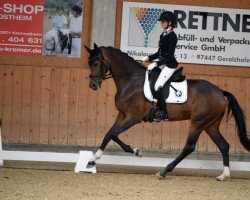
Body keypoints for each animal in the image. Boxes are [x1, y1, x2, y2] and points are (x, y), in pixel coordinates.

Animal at [85, 43, 249, 181]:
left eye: (95, 63)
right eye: (89, 64)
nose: (93, 85)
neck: (131, 81)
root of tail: (220, 92)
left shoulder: (133, 117)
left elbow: (112, 134)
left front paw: (94, 159)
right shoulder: (123, 115)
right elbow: (110, 134)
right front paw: (134, 151)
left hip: (198, 122)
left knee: (189, 147)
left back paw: (164, 171)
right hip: (210, 124)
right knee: (223, 145)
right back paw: (224, 175)